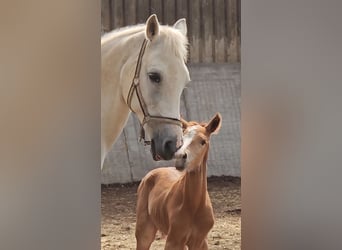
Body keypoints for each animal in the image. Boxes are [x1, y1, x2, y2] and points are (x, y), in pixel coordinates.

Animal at [135, 114, 220, 250]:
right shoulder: (174, 240)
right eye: (182, 139)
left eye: (203, 141)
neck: (194, 205)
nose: (180, 157)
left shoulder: (200, 241)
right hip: (144, 232)